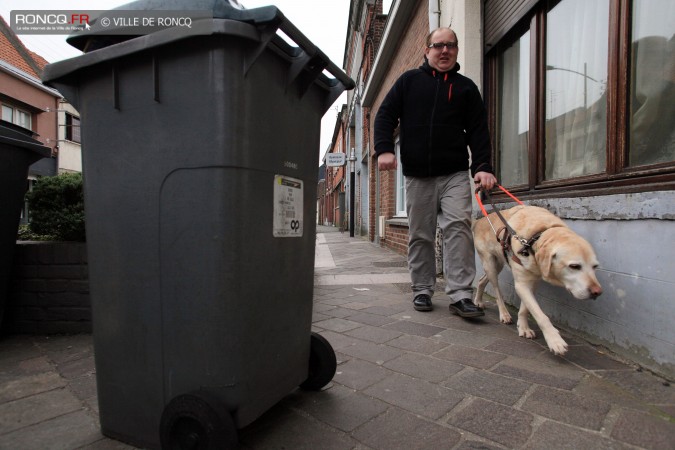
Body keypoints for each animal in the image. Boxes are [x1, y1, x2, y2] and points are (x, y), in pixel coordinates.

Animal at [472, 205, 604, 356]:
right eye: (574, 266)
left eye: (595, 266)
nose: (597, 292)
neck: (537, 236)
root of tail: (479, 221)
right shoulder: (522, 284)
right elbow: (540, 315)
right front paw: (555, 340)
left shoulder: (532, 282)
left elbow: (525, 309)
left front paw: (523, 328)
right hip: (490, 265)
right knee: (497, 292)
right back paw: (504, 314)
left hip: (498, 263)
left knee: (481, 280)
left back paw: (478, 301)